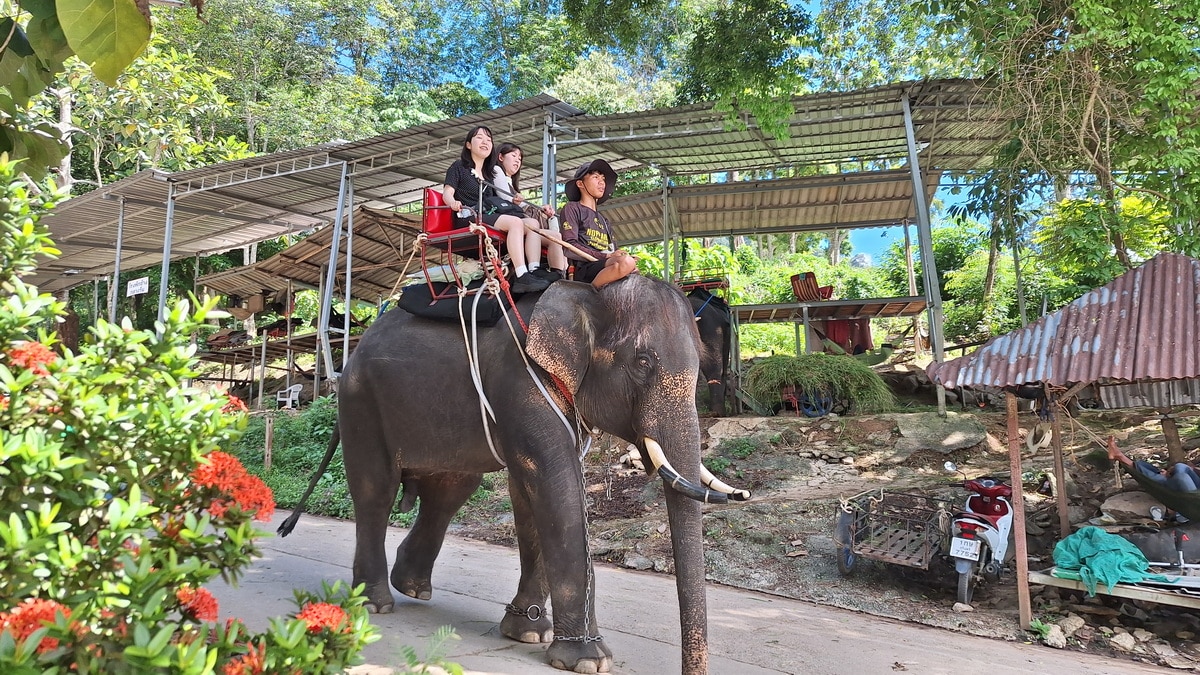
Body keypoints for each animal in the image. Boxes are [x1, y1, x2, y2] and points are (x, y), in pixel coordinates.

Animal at [279, 274, 749, 674]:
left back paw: (411, 587)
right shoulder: (521, 379)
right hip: (361, 399)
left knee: (451, 489)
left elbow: (530, 493)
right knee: (376, 489)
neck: (585, 291)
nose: (742, 495)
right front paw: (587, 659)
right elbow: (553, 483)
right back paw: (374, 604)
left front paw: (528, 633)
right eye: (643, 361)